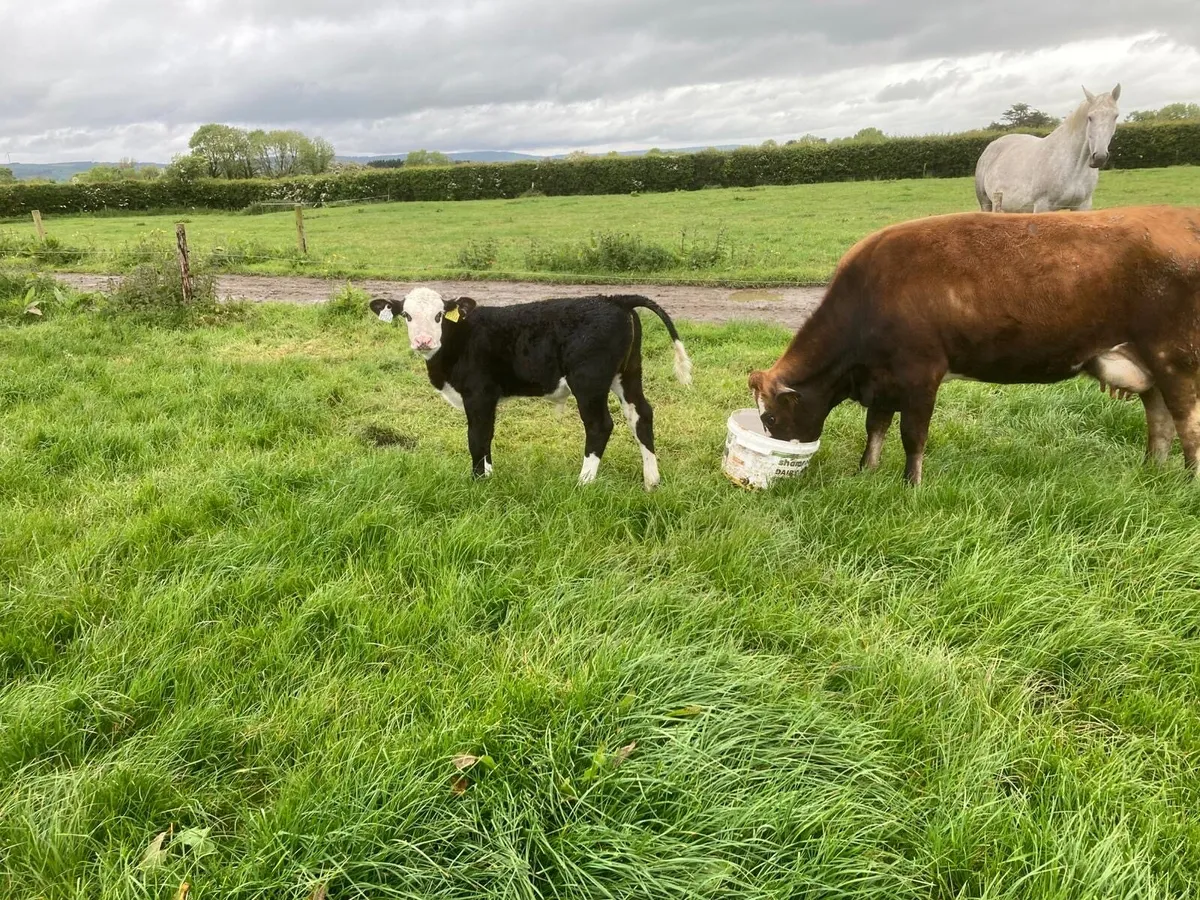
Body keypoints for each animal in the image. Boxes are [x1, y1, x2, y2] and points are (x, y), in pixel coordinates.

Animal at [369, 288, 693, 489]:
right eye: (407, 315)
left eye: (439, 315)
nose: (423, 341)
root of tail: (615, 299)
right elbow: (487, 438)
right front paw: (489, 476)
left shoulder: (479, 394)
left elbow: (477, 438)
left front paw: (478, 482)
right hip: (628, 373)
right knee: (641, 415)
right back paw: (651, 481)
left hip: (588, 381)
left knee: (600, 425)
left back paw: (583, 482)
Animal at [747, 205, 1200, 484]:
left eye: (770, 418)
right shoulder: (884, 378)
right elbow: (875, 427)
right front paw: (866, 473)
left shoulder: (921, 373)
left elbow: (913, 435)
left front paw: (911, 486)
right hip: (1149, 364)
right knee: (1159, 421)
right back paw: (1151, 473)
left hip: (1176, 358)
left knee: (1187, 424)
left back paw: (1187, 484)